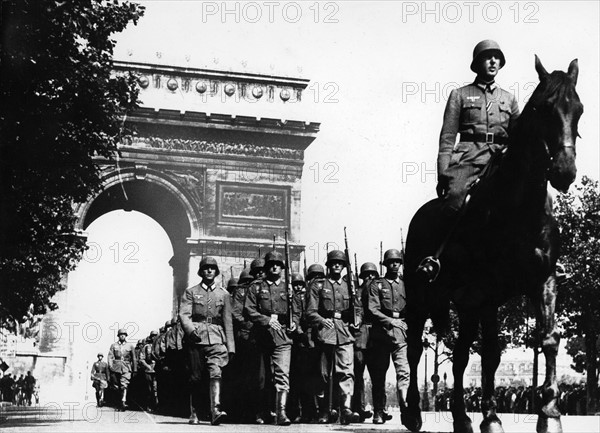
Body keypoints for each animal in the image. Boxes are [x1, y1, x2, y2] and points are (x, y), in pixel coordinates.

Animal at [404, 56, 580, 432]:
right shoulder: (487, 292)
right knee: (413, 347)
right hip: (422, 296)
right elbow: (491, 353)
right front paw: (491, 417)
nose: (565, 171)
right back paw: (412, 412)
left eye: (579, 109)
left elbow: (547, 340)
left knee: (459, 357)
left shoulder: (543, 282)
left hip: (465, 305)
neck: (519, 208)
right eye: (546, 108)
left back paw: (460, 417)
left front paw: (549, 412)